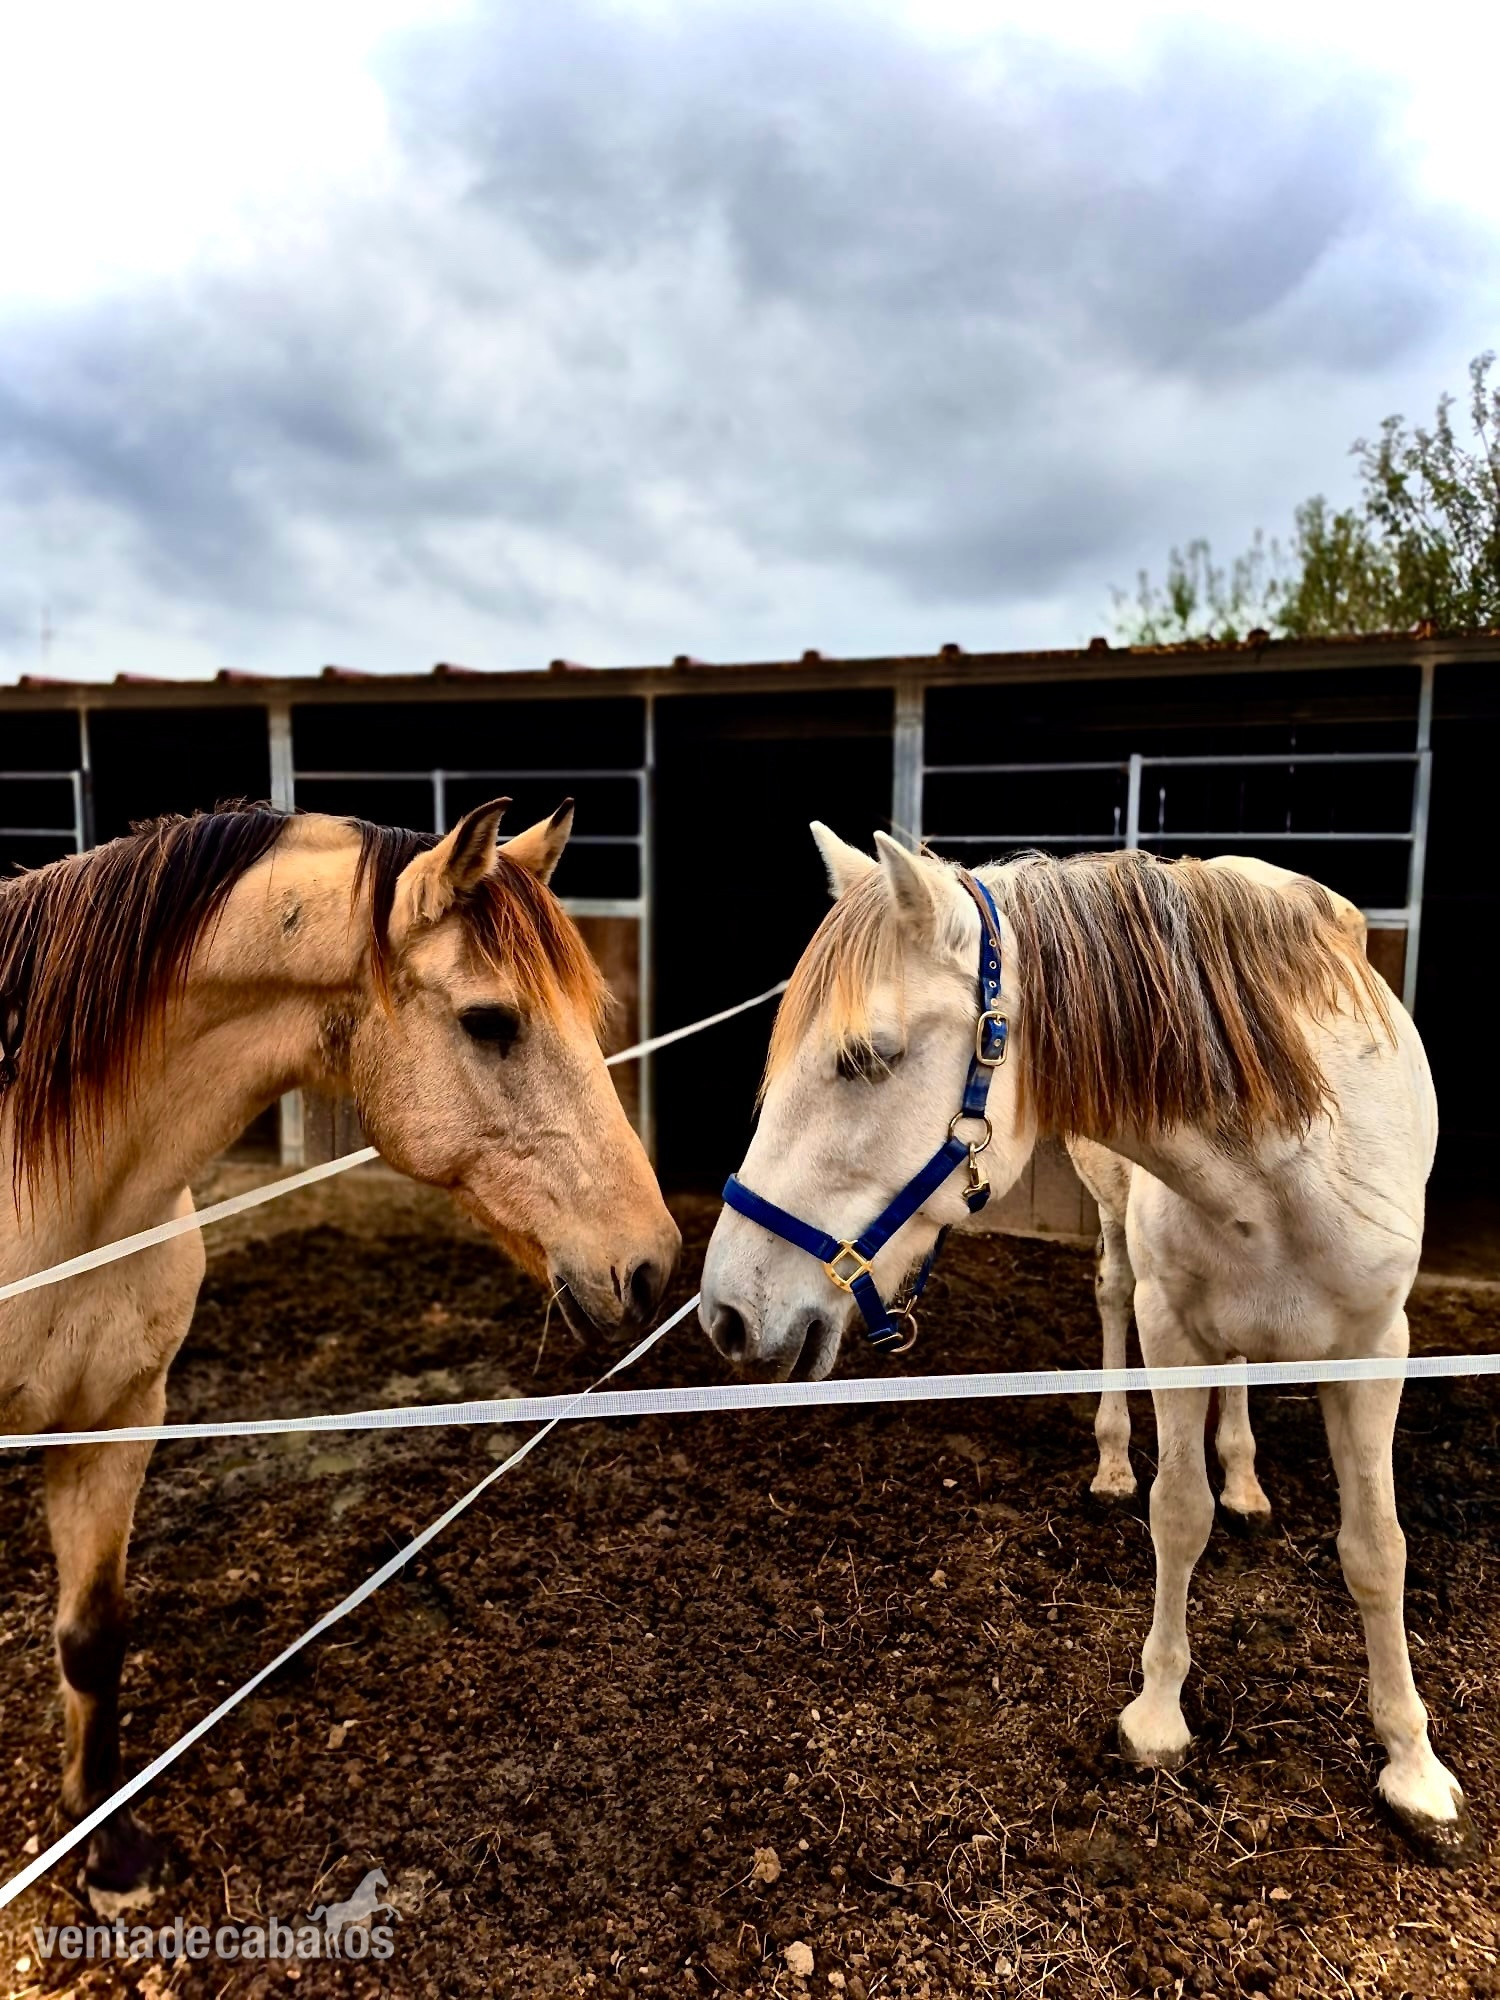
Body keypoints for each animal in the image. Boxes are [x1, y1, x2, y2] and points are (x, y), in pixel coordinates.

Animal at [1, 799, 679, 1904]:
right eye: (491, 1021)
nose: (651, 1264)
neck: (57, 1197)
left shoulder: (119, 1415)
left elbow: (91, 1638)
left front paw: (108, 1849)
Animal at [700, 825, 1475, 1864]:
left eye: (865, 1058)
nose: (726, 1310)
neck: (1296, 1156)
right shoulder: (1170, 1326)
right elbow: (1177, 1512)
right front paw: (1158, 1717)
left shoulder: (1377, 1349)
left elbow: (1377, 1548)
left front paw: (1414, 1768)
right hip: (1120, 1243)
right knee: (1112, 1300)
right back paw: (1117, 1462)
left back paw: (1248, 1481)